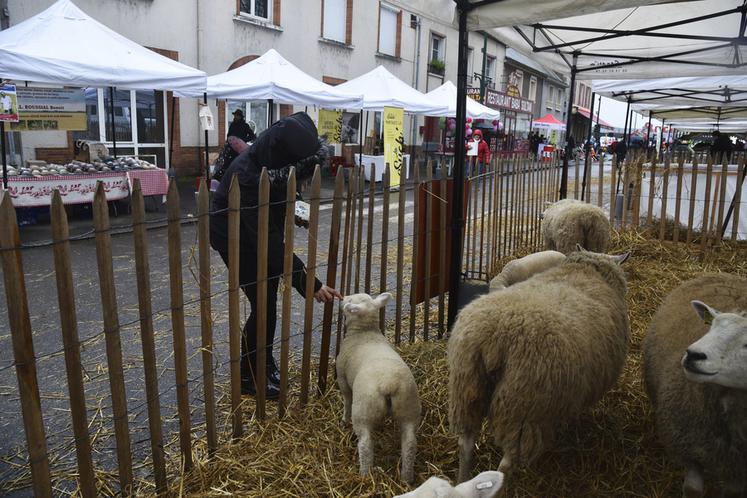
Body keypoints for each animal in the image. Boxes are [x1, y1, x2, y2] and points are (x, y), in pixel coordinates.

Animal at [338, 292, 420, 482]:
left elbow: (346, 400)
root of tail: (388, 383)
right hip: (409, 407)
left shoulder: (342, 378)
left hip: (364, 410)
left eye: (350, 300)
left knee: (366, 444)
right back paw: (406, 478)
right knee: (410, 444)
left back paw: (364, 474)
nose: (341, 299)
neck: (365, 332)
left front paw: (344, 420)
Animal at [450, 249, 632, 482]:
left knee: (465, 444)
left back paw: (462, 480)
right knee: (507, 463)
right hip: (523, 408)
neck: (585, 271)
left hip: (467, 389)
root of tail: (496, 338)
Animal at [644, 272, 747, 498]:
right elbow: (692, 490)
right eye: (711, 326)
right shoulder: (688, 449)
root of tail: (718, 273)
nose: (693, 354)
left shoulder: (737, 472)